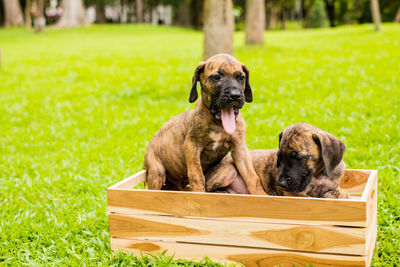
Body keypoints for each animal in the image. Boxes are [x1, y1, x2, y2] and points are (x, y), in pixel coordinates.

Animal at [144, 54, 266, 195]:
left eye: (241, 77)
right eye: (217, 77)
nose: (235, 95)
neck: (219, 124)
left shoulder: (240, 149)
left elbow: (252, 177)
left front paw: (262, 195)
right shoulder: (192, 146)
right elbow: (196, 175)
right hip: (156, 171)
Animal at [206, 123, 350, 199]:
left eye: (298, 158)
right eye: (279, 158)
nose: (280, 183)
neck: (318, 174)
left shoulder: (333, 187)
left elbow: (340, 194)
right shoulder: (293, 193)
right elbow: (309, 197)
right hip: (229, 171)